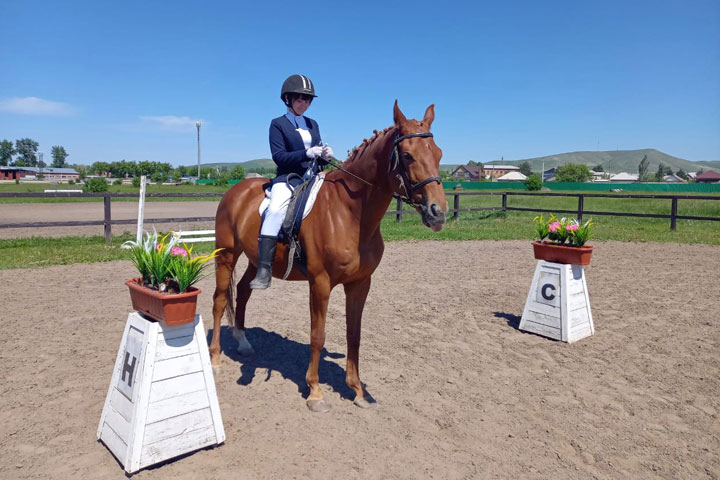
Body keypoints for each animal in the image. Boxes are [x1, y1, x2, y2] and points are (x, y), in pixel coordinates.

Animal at [207, 101, 444, 412]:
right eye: (407, 155)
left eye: (438, 154)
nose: (437, 212)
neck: (351, 213)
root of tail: (235, 190)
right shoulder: (320, 283)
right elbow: (317, 336)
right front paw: (315, 392)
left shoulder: (360, 283)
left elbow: (354, 335)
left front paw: (358, 391)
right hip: (226, 255)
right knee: (221, 300)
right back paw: (215, 359)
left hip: (256, 260)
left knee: (244, 291)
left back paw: (243, 343)